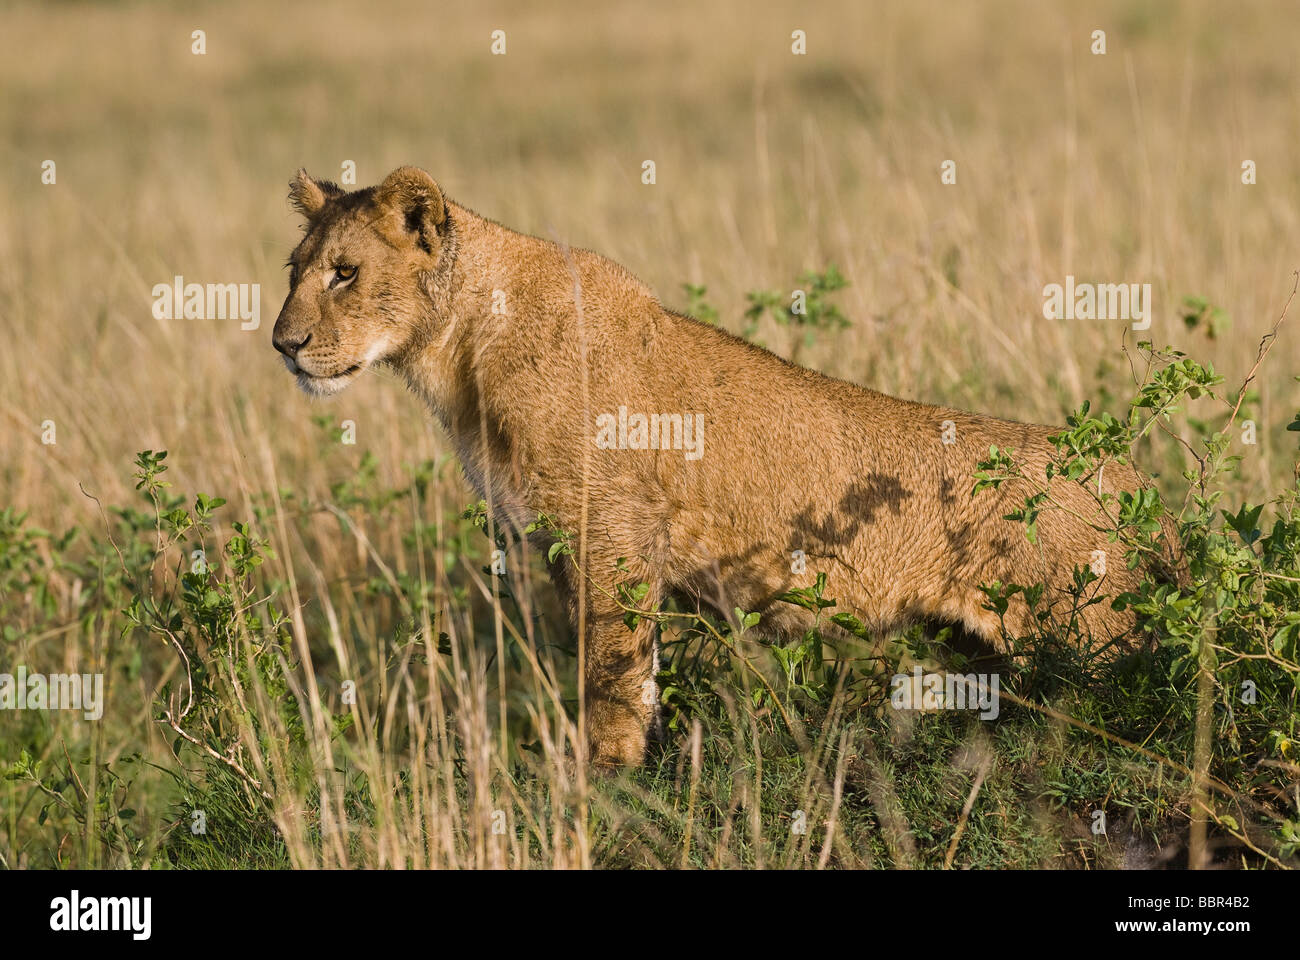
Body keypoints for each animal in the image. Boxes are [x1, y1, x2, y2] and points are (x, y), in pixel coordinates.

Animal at [273, 166, 1181, 766]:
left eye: (345, 273)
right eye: (294, 271)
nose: (283, 343)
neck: (458, 353)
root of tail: (1131, 476)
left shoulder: (613, 533)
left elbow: (611, 674)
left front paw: (607, 779)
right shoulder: (569, 543)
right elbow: (620, 671)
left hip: (1094, 638)